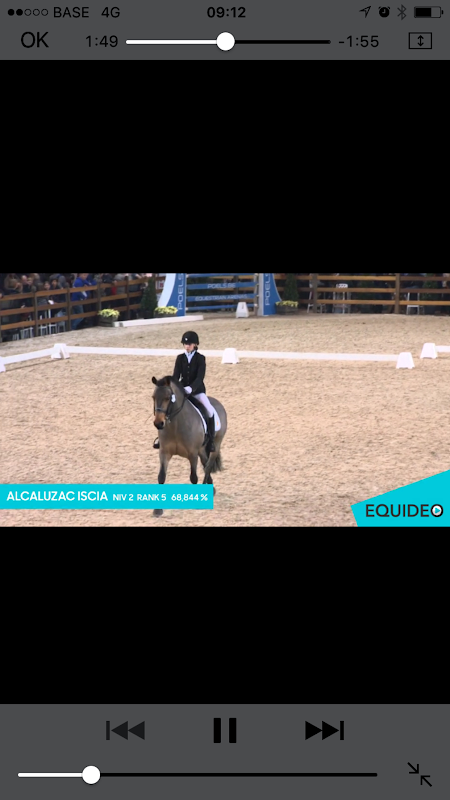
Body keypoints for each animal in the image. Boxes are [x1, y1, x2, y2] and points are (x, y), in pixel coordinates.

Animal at [151, 376, 228, 517]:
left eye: (167, 398)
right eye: (153, 397)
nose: (158, 423)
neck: (176, 424)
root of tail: (218, 403)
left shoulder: (192, 454)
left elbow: (193, 477)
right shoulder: (164, 453)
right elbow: (161, 477)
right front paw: (157, 510)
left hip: (216, 444)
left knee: (208, 465)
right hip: (202, 450)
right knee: (205, 463)